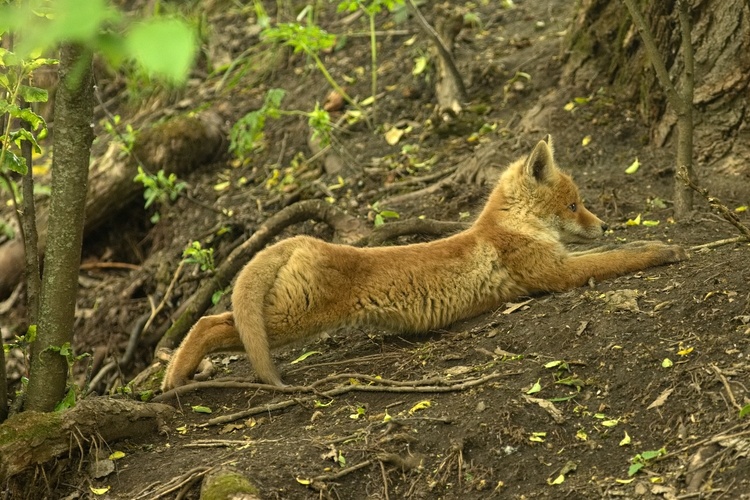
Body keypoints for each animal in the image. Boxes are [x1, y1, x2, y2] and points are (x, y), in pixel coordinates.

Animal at [162, 137, 692, 390]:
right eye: (574, 205)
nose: (604, 224)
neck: (510, 229)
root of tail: (301, 239)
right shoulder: (555, 273)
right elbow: (618, 259)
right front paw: (665, 250)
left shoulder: (559, 261)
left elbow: (612, 254)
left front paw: (653, 239)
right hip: (292, 321)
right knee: (209, 322)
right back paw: (174, 377)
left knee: (218, 320)